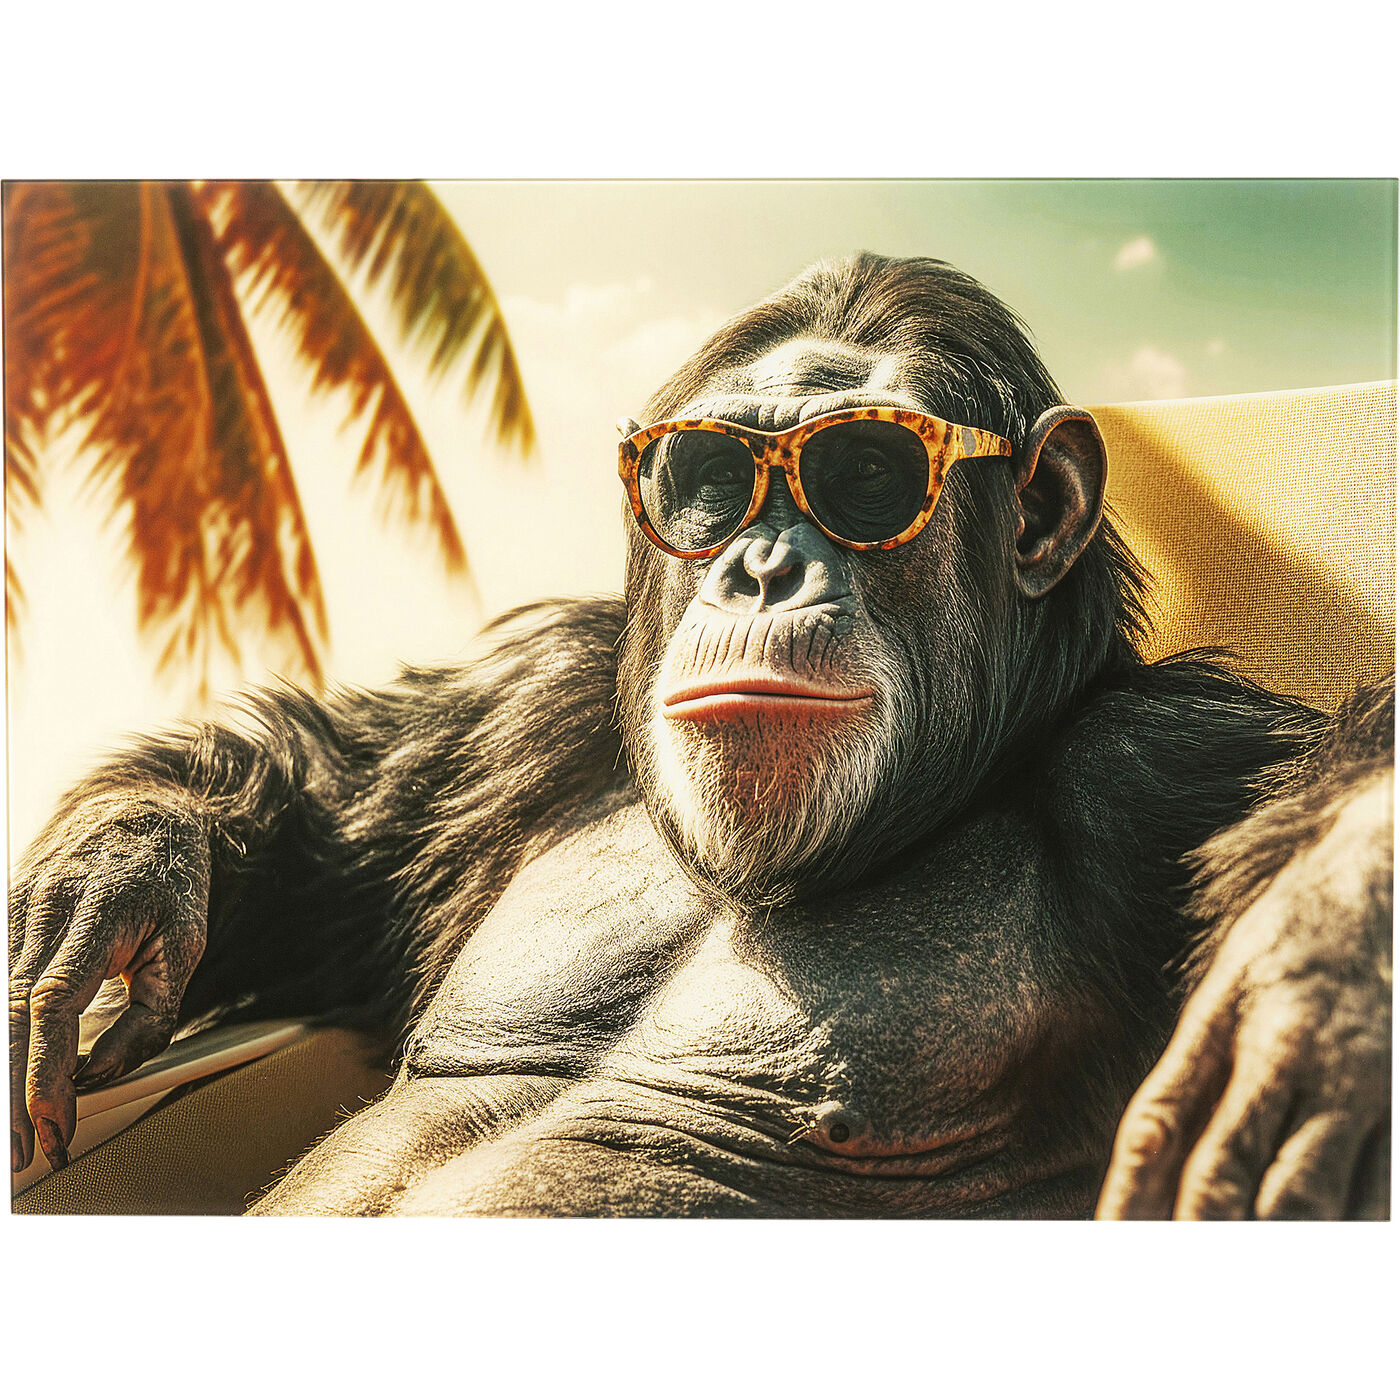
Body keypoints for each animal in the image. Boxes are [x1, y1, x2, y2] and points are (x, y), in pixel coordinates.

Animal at [9, 253, 1392, 1217]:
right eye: (705, 480)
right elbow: (342, 826)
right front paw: (116, 870)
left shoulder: (1167, 773)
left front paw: (1314, 963)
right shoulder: (533, 709)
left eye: (867, 475)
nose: (759, 565)